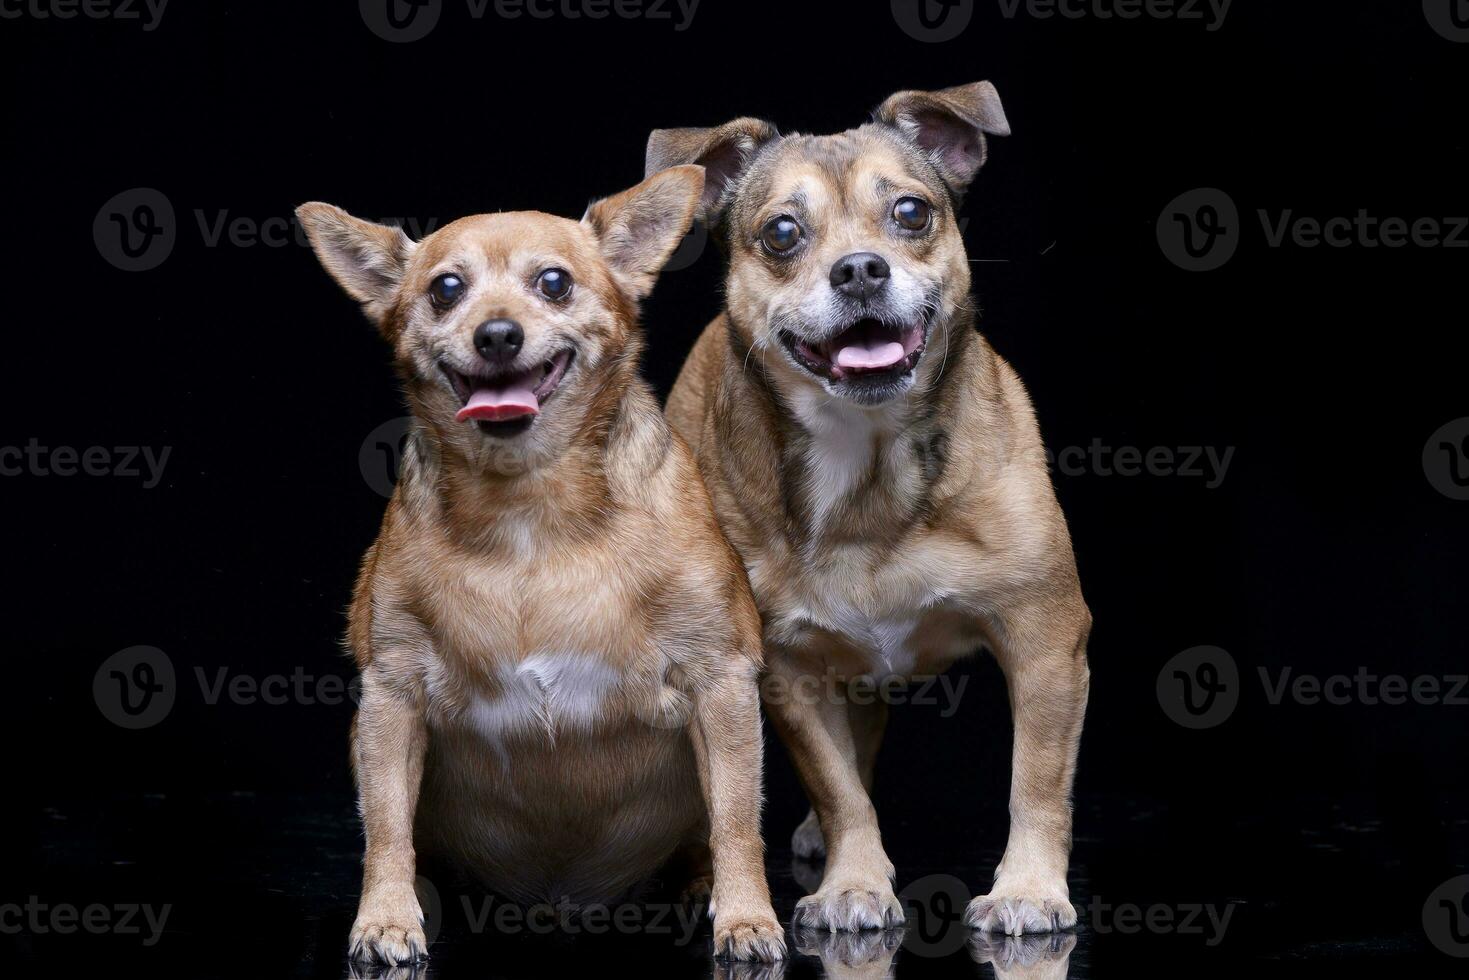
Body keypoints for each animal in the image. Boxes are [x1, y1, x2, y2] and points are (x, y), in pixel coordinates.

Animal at [290, 166, 787, 963]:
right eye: (445, 290)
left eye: (554, 283)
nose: (497, 333)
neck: (529, 507)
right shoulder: (392, 700)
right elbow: (386, 826)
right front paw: (386, 917)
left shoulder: (721, 683)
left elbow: (739, 818)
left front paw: (746, 918)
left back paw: (700, 887)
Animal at [652, 82, 1092, 934]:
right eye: (782, 232)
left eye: (912, 213)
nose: (859, 269)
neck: (867, 465)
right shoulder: (790, 672)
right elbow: (840, 789)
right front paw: (854, 881)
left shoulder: (1044, 641)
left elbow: (1035, 780)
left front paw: (1027, 888)